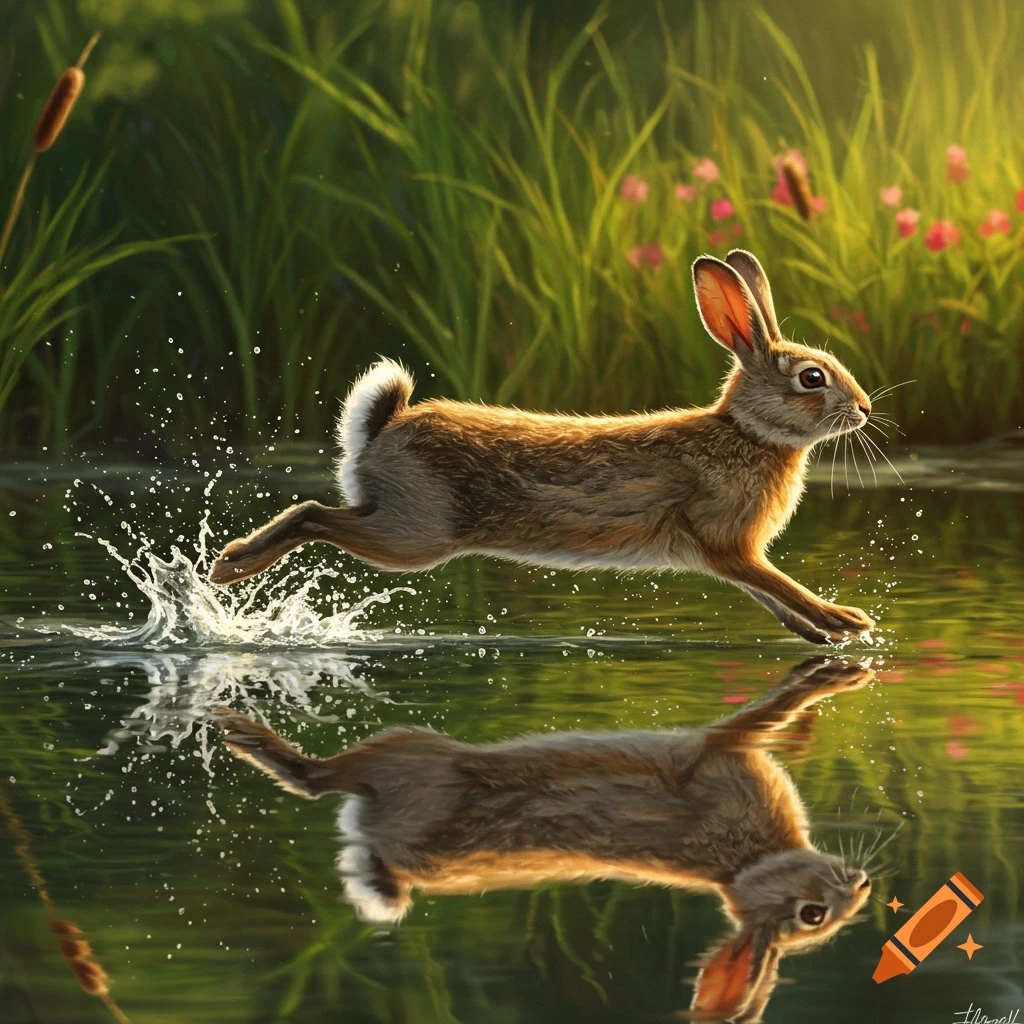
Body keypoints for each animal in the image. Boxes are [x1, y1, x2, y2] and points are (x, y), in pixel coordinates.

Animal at [208, 249, 876, 644]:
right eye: (811, 379)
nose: (865, 408)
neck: (747, 433)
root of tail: (380, 430)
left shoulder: (726, 556)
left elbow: (771, 597)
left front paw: (824, 638)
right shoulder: (725, 543)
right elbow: (779, 585)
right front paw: (847, 621)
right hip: (414, 534)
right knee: (313, 514)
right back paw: (229, 566)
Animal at [213, 656, 876, 1022]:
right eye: (811, 915)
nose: (863, 885)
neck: (745, 864)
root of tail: (387, 855)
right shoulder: (722, 759)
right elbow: (764, 715)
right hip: (410, 753)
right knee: (316, 780)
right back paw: (240, 732)